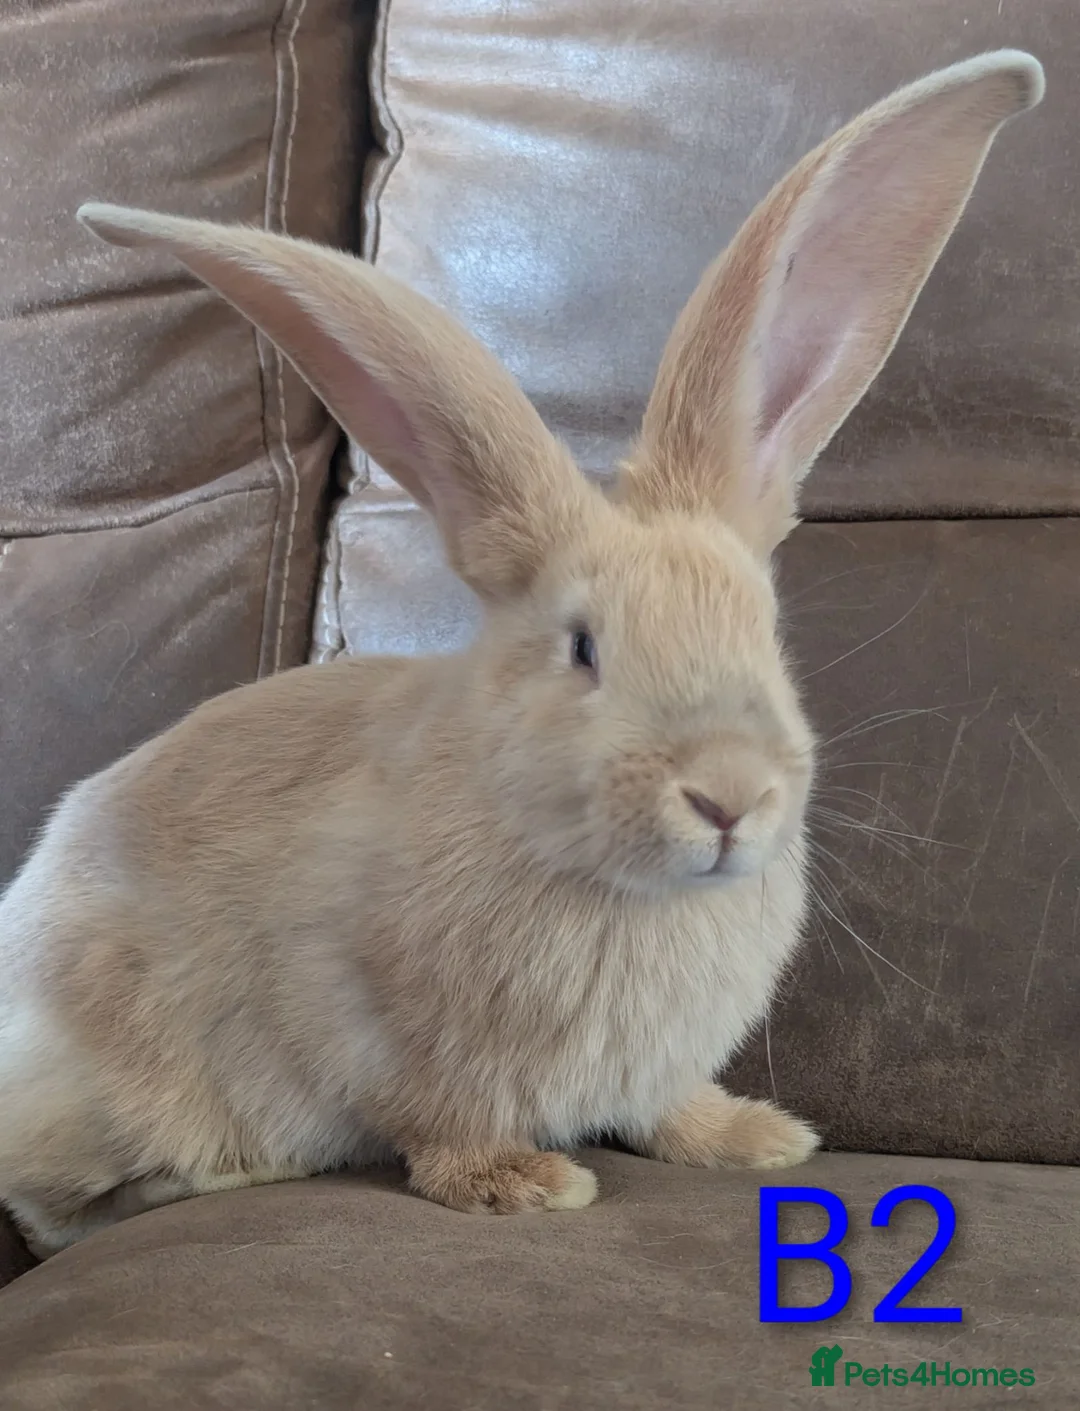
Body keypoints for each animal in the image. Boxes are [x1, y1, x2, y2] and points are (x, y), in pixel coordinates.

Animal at [0, 50, 1043, 1257]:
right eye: (583, 648)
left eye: (769, 635)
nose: (730, 797)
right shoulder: (376, 1034)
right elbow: (441, 1132)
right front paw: (525, 1185)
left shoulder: (653, 1068)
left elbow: (669, 1108)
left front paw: (760, 1139)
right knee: (63, 1204)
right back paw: (229, 1172)